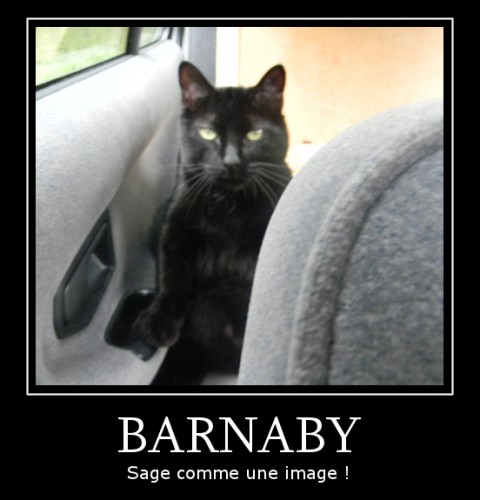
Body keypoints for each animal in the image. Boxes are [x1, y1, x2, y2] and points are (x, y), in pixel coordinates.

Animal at [134, 61, 292, 385]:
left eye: (254, 135)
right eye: (208, 133)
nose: (231, 162)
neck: (229, 205)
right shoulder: (175, 227)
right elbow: (172, 275)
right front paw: (158, 321)